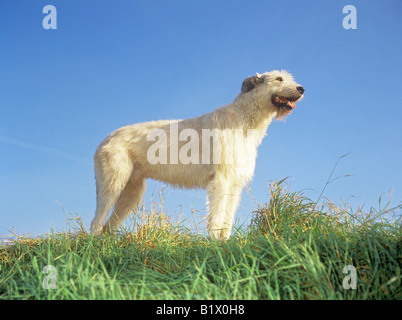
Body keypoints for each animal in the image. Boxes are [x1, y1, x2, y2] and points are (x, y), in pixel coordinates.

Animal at [91, 70, 304, 240]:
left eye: (289, 78)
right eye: (278, 79)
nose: (302, 89)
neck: (244, 119)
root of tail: (106, 139)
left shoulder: (235, 182)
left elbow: (228, 215)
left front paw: (225, 241)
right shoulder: (221, 180)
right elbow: (217, 214)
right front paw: (214, 242)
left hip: (132, 191)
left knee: (109, 225)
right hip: (113, 183)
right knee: (97, 221)